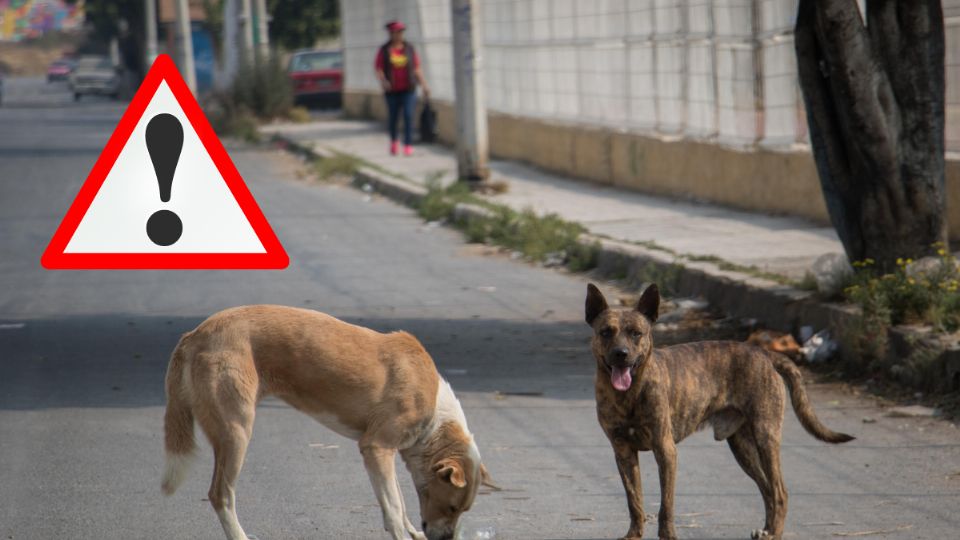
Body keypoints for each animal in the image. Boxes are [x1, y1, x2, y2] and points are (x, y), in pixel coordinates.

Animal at [160, 306, 492, 540]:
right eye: (452, 507)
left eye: (463, 510)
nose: (446, 539)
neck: (435, 415)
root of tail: (195, 335)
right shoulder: (376, 447)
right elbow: (395, 508)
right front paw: (402, 534)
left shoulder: (384, 455)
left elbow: (396, 499)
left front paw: (412, 531)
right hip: (236, 430)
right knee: (221, 495)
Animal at [584, 282, 856, 540]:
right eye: (605, 332)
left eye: (636, 334)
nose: (621, 354)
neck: (628, 394)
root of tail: (764, 353)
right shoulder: (623, 453)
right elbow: (634, 502)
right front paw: (634, 534)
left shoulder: (665, 450)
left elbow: (666, 505)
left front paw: (668, 535)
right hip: (742, 447)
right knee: (767, 489)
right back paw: (766, 530)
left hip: (765, 437)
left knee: (780, 491)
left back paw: (774, 533)